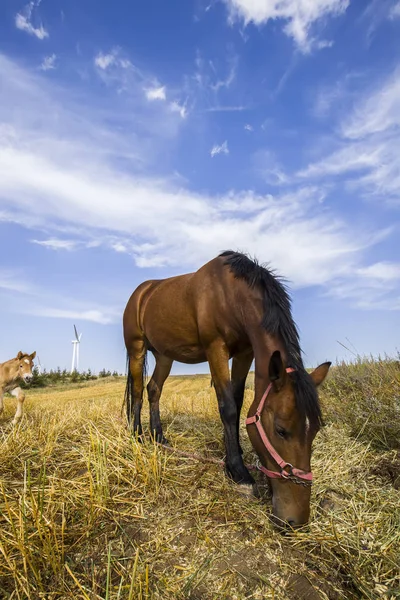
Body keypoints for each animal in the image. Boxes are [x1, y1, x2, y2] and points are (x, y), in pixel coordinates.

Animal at [123, 251, 330, 528]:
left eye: (315, 429)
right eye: (281, 430)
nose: (296, 520)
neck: (230, 294)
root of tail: (142, 292)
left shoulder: (245, 352)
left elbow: (239, 400)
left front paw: (235, 452)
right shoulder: (216, 349)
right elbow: (228, 407)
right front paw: (239, 472)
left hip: (164, 355)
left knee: (154, 389)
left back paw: (159, 436)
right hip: (137, 348)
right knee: (137, 390)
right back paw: (138, 435)